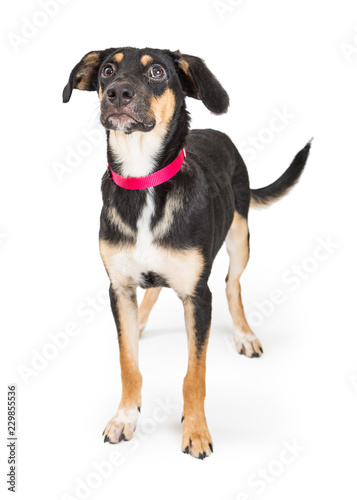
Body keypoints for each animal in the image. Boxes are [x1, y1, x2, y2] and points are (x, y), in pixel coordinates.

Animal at [62, 47, 310, 460]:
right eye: (107, 70)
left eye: (157, 72)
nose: (117, 92)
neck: (143, 182)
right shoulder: (119, 288)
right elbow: (128, 362)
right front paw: (126, 417)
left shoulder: (198, 296)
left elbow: (195, 374)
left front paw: (195, 430)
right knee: (154, 289)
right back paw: (141, 322)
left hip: (240, 236)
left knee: (232, 283)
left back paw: (244, 334)